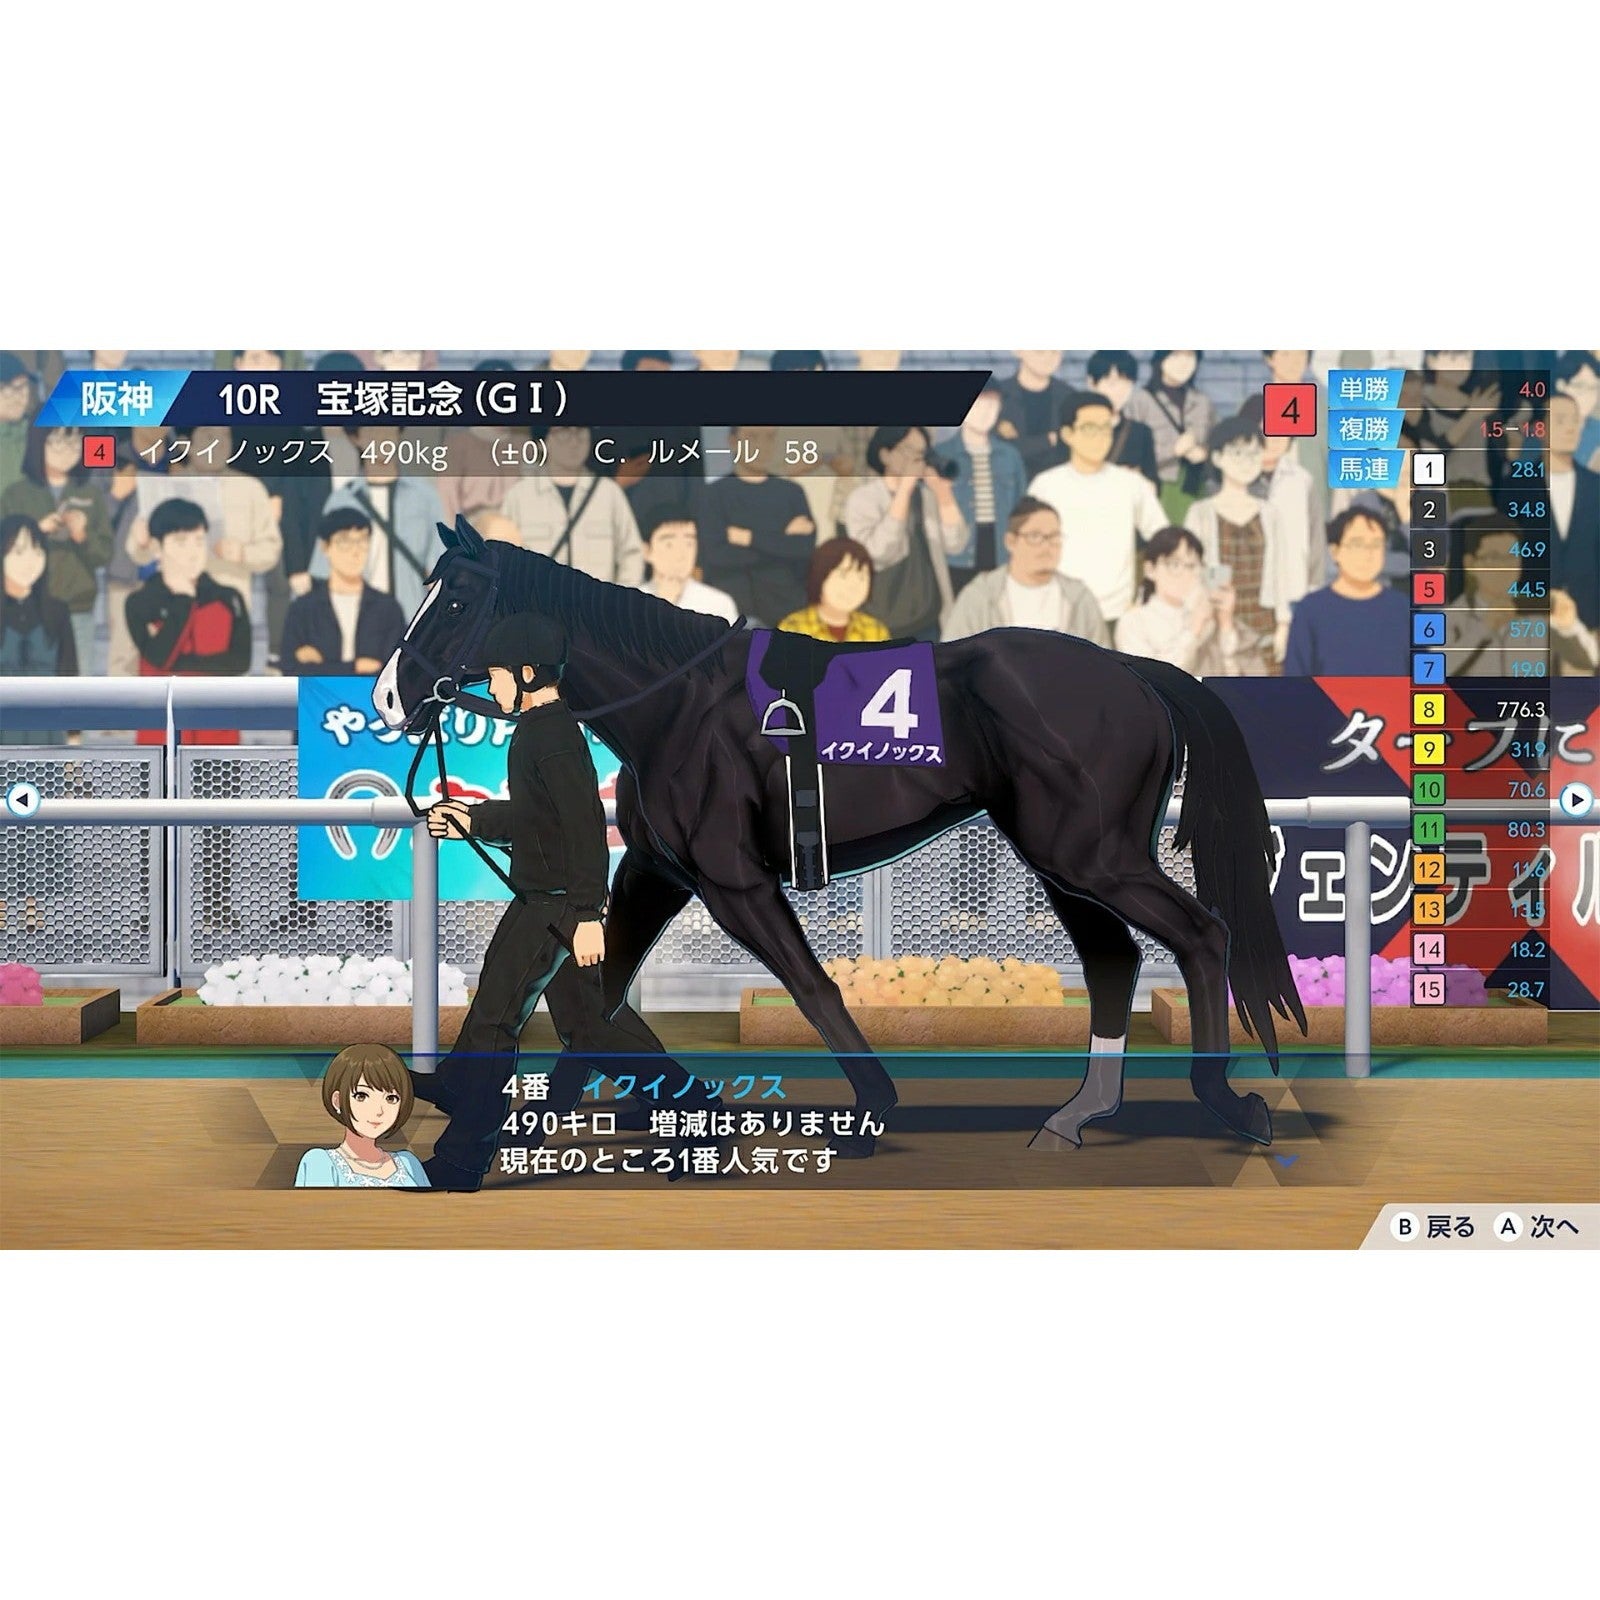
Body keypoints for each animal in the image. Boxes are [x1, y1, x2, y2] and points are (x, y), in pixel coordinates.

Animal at [374, 516, 1306, 1156]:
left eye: (455, 598)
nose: (386, 695)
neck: (675, 706)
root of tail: (1129, 672)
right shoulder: (655, 871)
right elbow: (594, 998)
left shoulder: (734, 880)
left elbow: (813, 986)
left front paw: (869, 1107)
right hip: (1065, 858)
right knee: (1114, 957)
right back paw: (1078, 1113)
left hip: (1092, 853)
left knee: (1202, 933)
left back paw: (1229, 1102)